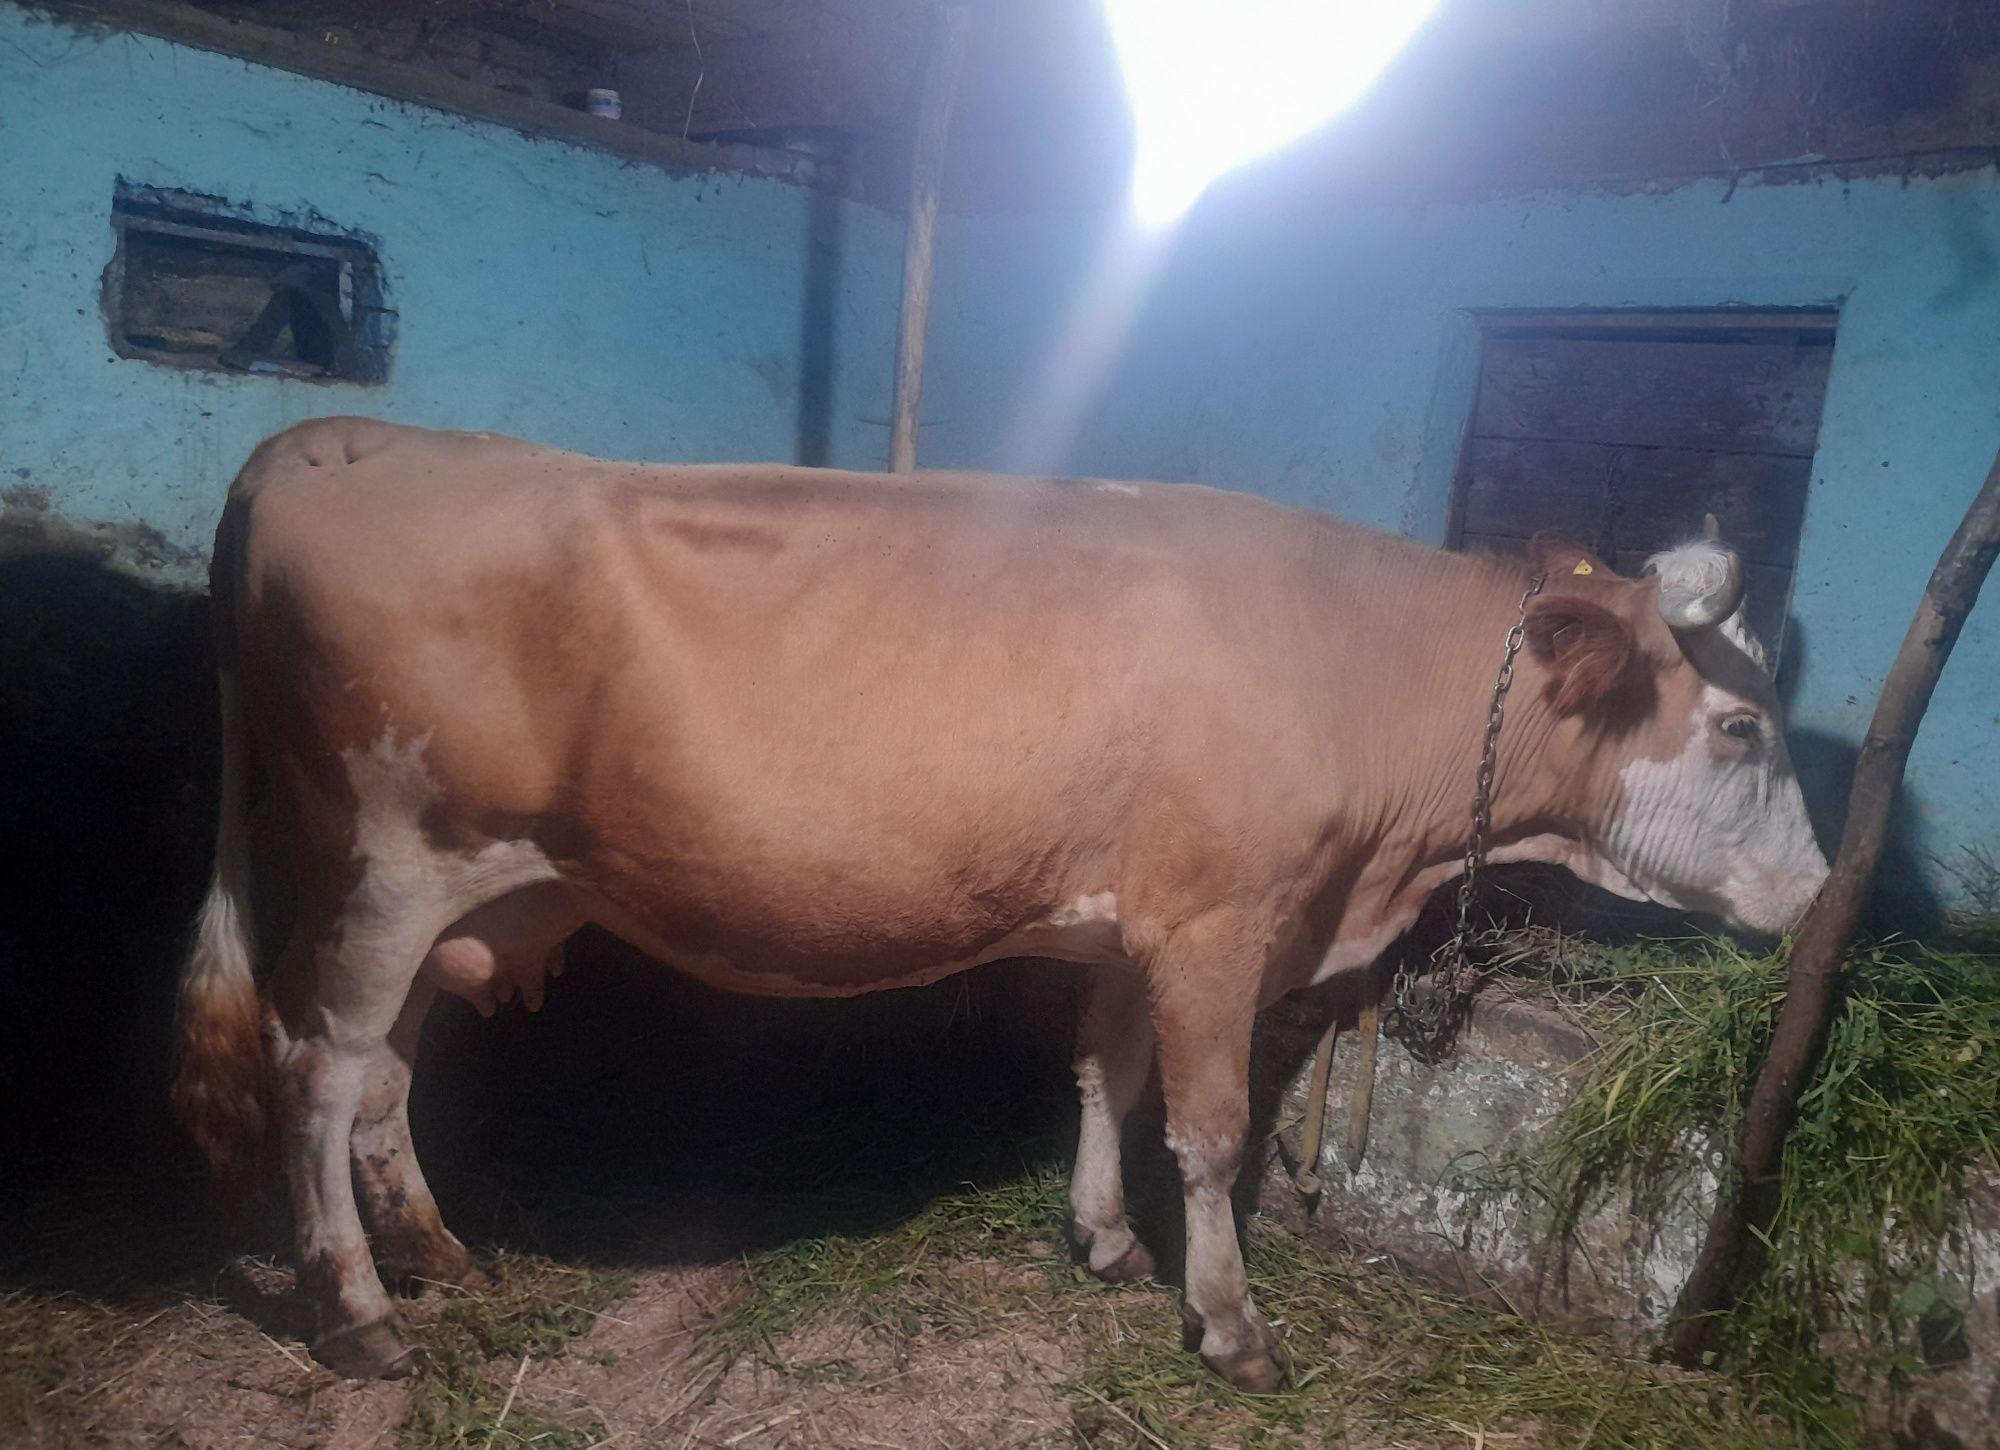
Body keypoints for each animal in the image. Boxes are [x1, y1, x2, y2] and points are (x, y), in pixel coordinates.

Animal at [172, 417, 1829, 1390]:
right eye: (1745, 727)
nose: (1821, 892)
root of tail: (334, 440)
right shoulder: (1226, 921)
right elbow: (1211, 1128)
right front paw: (1231, 1324)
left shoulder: (1134, 918)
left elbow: (1108, 1074)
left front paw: (1101, 1238)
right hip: (386, 854)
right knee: (314, 1064)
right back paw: (358, 1311)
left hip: (467, 890)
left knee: (384, 1068)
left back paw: (433, 1252)